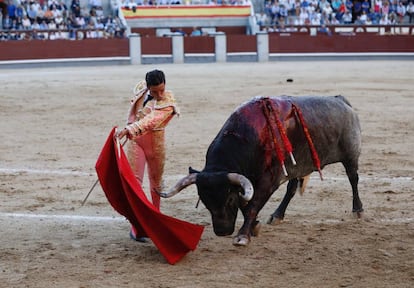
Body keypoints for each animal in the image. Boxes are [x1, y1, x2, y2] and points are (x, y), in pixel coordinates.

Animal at [159, 96, 362, 245]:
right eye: (204, 200)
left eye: (229, 199)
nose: (222, 231)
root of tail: (341, 100)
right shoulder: (248, 181)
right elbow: (246, 204)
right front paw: (254, 227)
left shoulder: (268, 180)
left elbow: (252, 205)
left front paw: (243, 235)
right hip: (296, 165)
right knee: (291, 188)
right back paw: (277, 215)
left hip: (350, 156)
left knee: (353, 179)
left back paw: (358, 210)